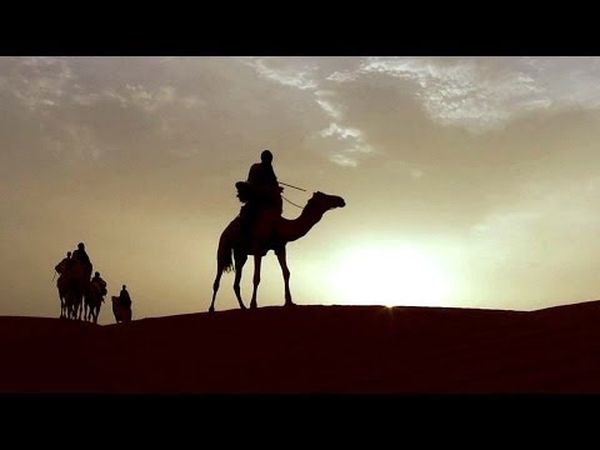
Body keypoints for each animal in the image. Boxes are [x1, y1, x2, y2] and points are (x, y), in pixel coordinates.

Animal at [209, 190, 344, 312]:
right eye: (325, 197)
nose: (341, 200)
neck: (278, 226)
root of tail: (226, 229)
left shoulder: (280, 248)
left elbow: (286, 273)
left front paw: (289, 302)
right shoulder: (258, 249)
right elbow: (256, 277)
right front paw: (253, 304)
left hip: (240, 253)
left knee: (236, 282)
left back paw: (243, 307)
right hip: (223, 245)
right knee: (217, 278)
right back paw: (211, 308)